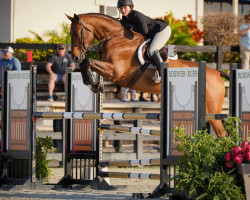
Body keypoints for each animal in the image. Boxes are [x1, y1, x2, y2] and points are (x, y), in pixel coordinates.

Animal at [66, 12, 229, 138]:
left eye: (76, 33)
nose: (75, 57)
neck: (115, 38)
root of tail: (217, 73)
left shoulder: (114, 71)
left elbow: (87, 61)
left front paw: (92, 82)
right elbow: (86, 63)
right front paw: (94, 83)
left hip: (212, 111)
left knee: (222, 134)